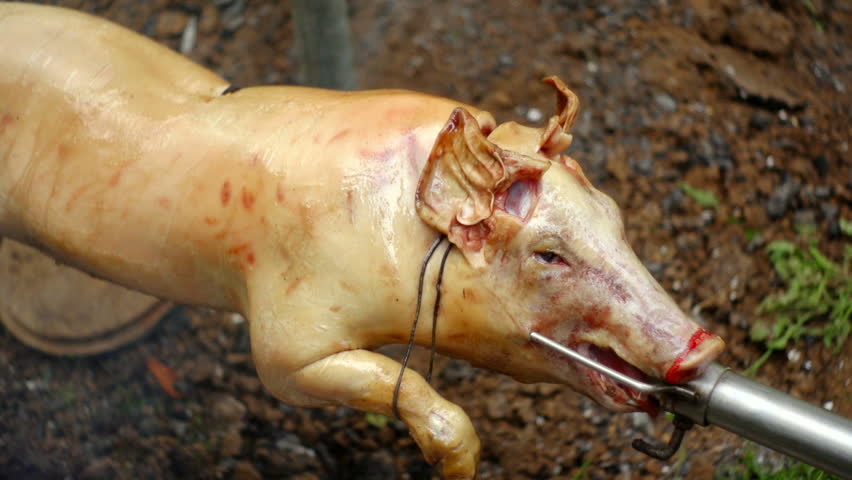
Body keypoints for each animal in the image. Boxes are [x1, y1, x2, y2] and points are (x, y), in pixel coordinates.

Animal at [0, 4, 724, 478]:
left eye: (614, 213)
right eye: (549, 254)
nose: (704, 348)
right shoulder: (286, 333)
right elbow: (354, 374)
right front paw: (458, 467)